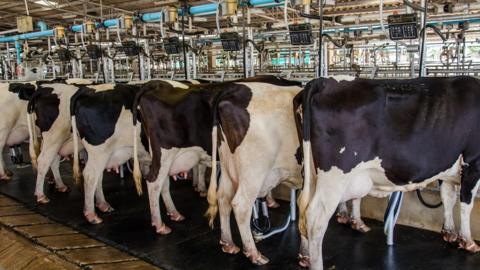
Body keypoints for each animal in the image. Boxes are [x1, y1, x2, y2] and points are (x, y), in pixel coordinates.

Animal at [131, 74, 302, 264]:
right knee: (154, 183)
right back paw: (160, 225)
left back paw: (175, 214)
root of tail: (155, 83)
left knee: (164, 184)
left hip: (165, 157)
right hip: (165, 153)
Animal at [296, 75, 480, 268]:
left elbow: (448, 198)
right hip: (335, 176)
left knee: (303, 206)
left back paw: (305, 256)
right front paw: (467, 241)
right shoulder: (473, 161)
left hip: (311, 173)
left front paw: (449, 232)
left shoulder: (448, 168)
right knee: (315, 218)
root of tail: (324, 81)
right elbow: (466, 203)